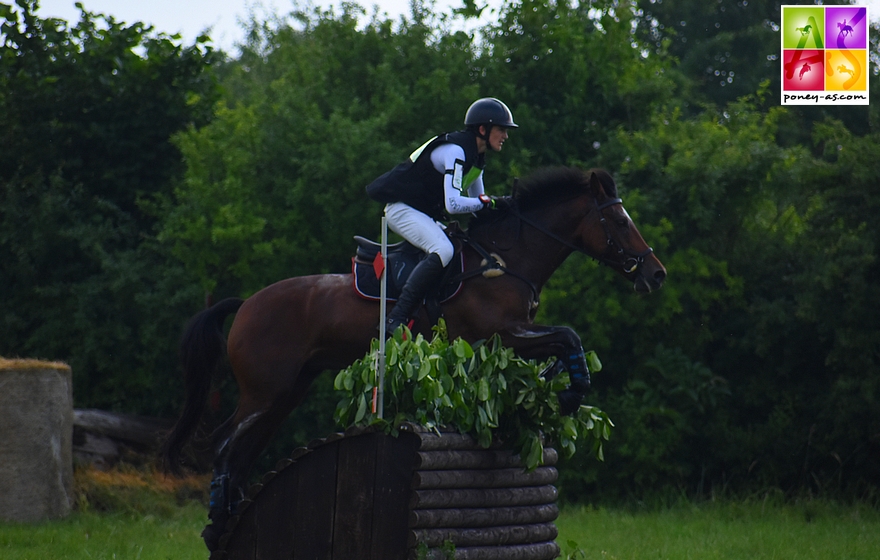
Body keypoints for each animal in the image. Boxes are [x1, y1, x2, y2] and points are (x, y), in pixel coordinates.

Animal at [160, 166, 668, 548]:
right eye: (620, 222)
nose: (656, 274)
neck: (506, 258)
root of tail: (246, 303)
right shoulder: (502, 334)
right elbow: (568, 336)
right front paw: (568, 395)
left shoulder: (512, 337)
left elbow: (565, 341)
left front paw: (560, 386)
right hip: (266, 391)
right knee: (225, 442)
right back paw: (217, 520)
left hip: (287, 393)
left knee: (245, 449)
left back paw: (227, 520)